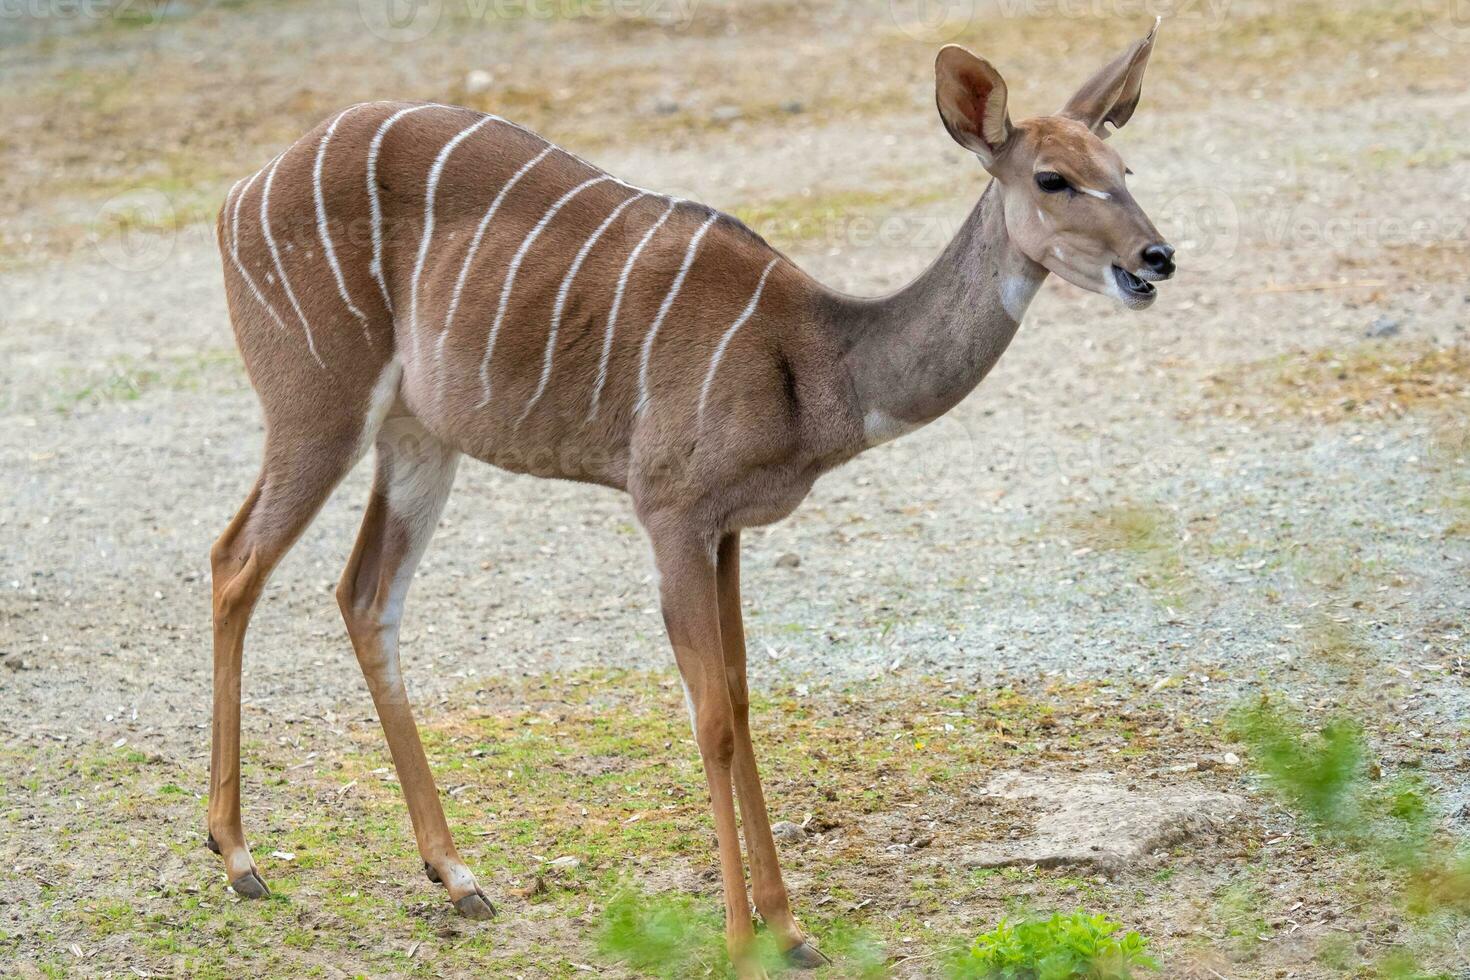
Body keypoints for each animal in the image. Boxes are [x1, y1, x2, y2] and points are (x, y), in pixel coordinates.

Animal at [210, 21, 1170, 975]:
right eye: (1051, 177)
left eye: (1125, 169)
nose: (1155, 257)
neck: (819, 360)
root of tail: (237, 195)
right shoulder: (670, 512)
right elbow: (709, 717)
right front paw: (742, 941)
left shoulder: (731, 528)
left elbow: (741, 698)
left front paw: (793, 930)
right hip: (318, 404)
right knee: (235, 562)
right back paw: (239, 858)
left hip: (418, 438)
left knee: (365, 594)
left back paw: (457, 876)